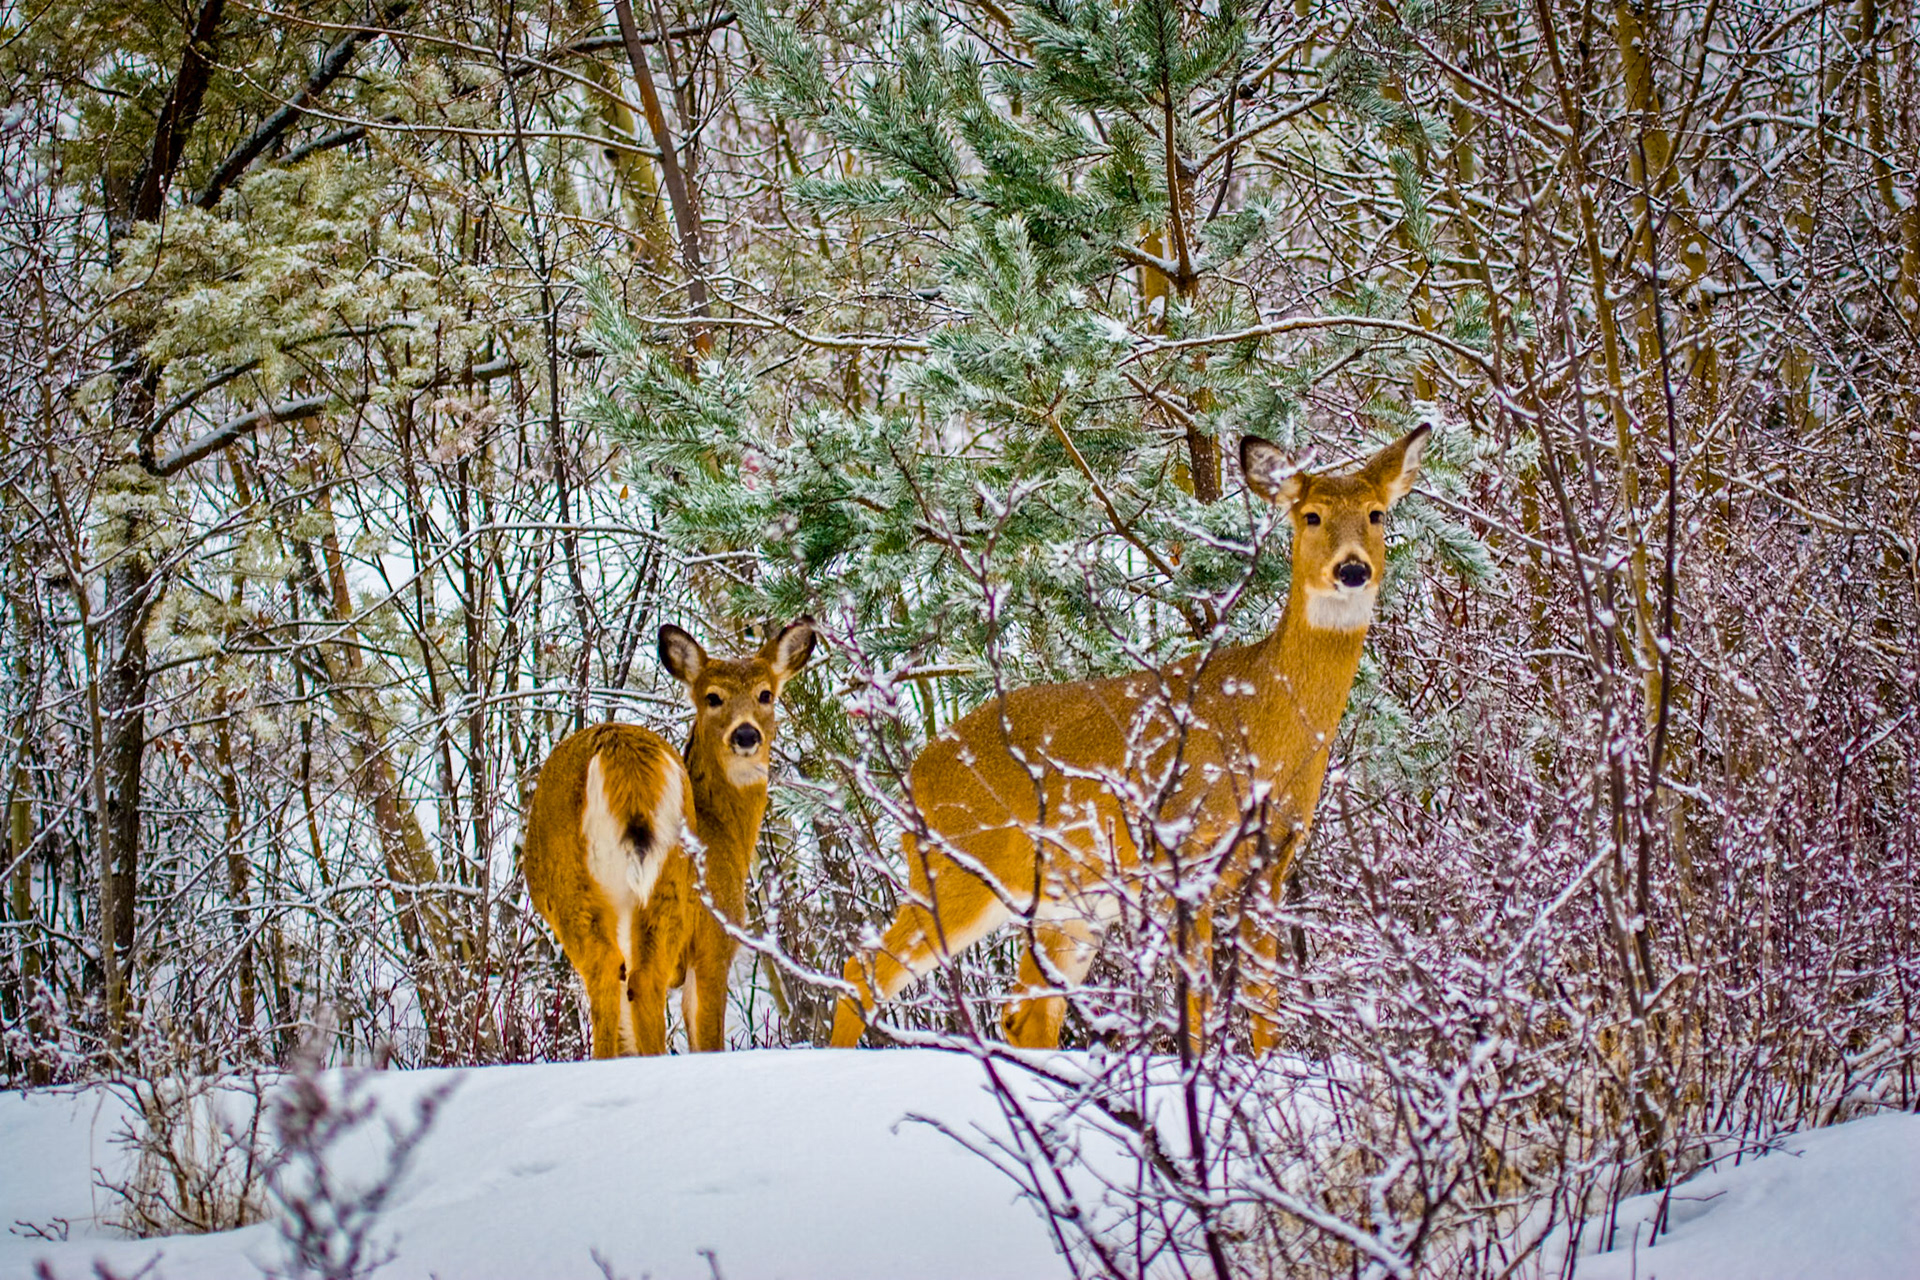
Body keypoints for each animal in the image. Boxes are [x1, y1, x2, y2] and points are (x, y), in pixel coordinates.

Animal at [523, 618, 816, 1057]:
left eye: (765, 694)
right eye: (713, 697)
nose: (746, 735)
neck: (725, 833)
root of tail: (619, 752)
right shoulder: (714, 938)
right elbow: (706, 1035)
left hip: (570, 886)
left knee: (605, 972)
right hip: (671, 883)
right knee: (644, 981)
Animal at [828, 427, 1428, 1054]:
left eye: (1376, 513)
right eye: (1311, 516)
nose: (1353, 569)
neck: (1260, 724)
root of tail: (915, 773)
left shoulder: (1272, 866)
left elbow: (1267, 1010)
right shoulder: (1181, 854)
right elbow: (1197, 1008)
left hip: (1067, 905)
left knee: (1026, 1016)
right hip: (957, 867)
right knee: (863, 971)